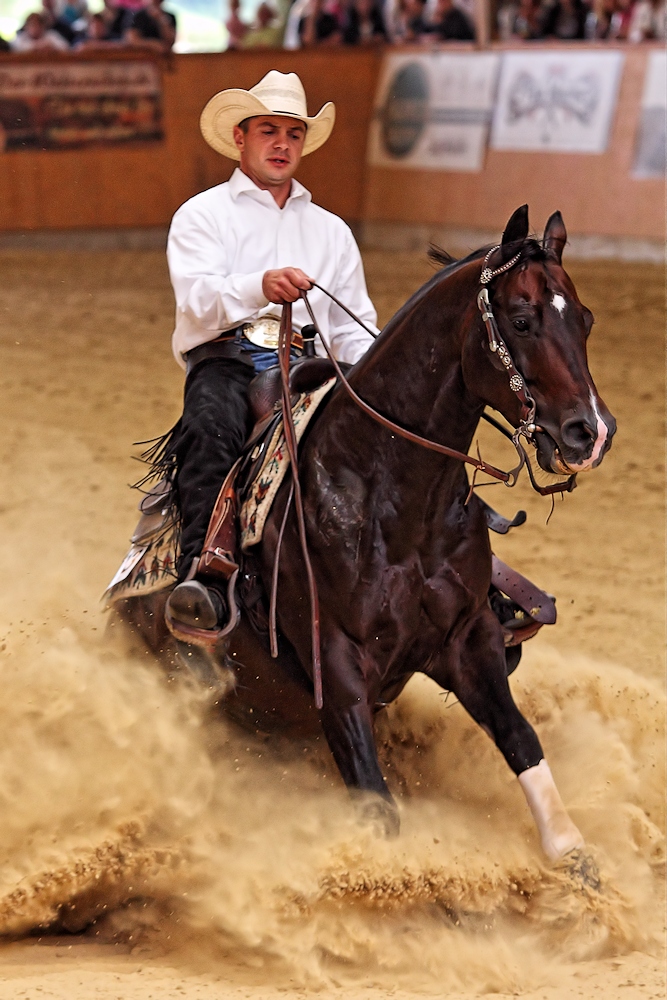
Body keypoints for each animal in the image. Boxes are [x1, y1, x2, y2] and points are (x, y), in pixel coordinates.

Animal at [113, 207, 616, 864]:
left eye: (584, 318)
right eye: (523, 319)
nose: (592, 431)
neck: (395, 500)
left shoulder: (470, 638)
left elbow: (521, 739)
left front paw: (575, 860)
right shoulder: (338, 663)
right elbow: (375, 800)